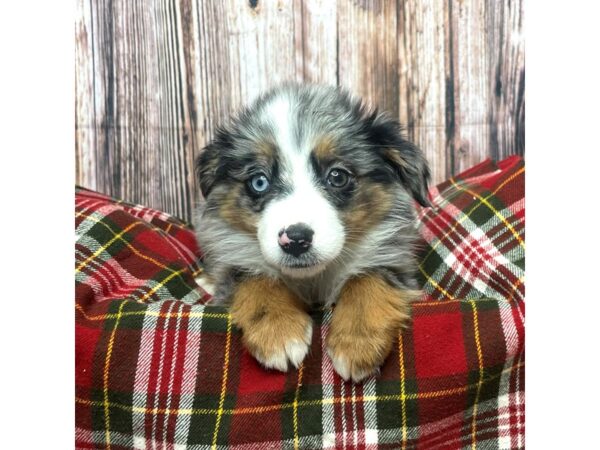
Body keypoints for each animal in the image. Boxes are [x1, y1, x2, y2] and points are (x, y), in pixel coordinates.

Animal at [195, 82, 428, 382]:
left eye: (338, 176)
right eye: (259, 181)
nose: (295, 240)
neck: (312, 278)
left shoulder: (393, 261)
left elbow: (367, 279)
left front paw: (358, 342)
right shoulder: (236, 260)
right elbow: (257, 278)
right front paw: (278, 333)